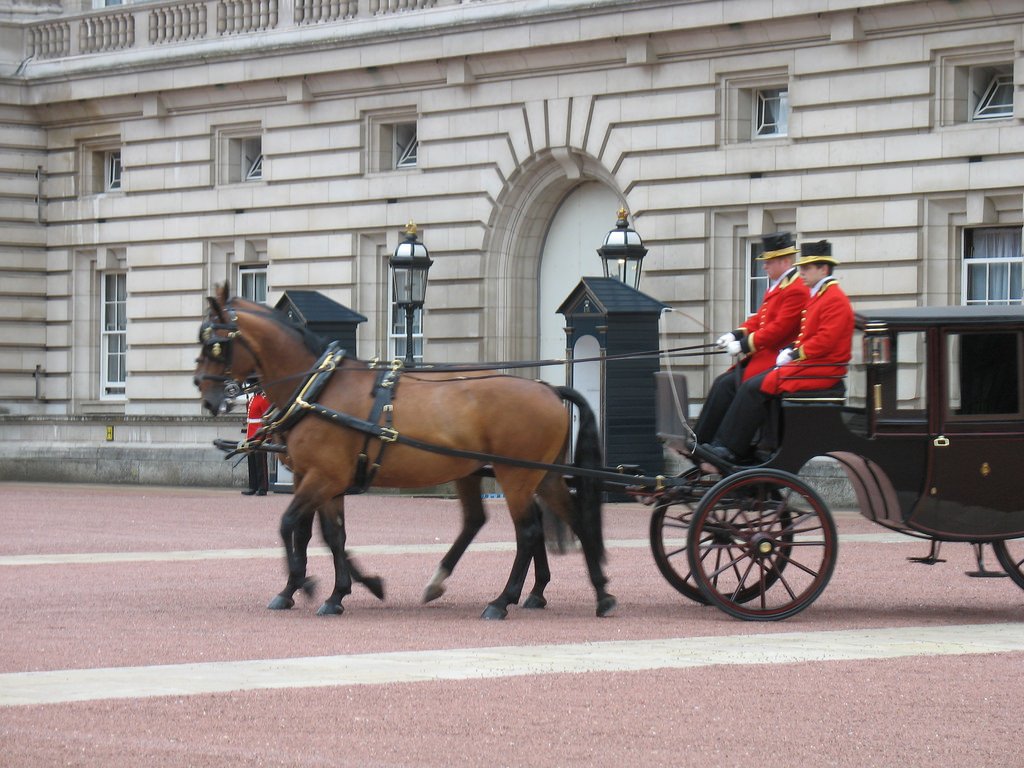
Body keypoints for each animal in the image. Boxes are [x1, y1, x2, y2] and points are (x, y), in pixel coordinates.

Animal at [192, 286, 614, 618]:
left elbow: (290, 524)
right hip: (537, 475)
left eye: (216, 344)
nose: (208, 397)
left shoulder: (322, 476)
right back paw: (599, 593)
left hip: (516, 476)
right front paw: (341, 590)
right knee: (566, 520)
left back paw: (502, 601)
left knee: (527, 531)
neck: (318, 388)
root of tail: (547, 388)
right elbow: (332, 535)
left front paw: (304, 583)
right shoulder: (323, 479)